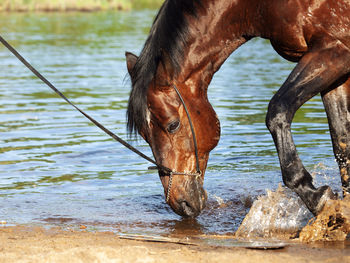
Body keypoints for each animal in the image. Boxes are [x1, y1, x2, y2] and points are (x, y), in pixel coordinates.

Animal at [126, 0, 350, 219]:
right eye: (145, 135)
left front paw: (316, 196)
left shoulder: (333, 50)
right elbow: (342, 142)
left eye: (173, 125)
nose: (180, 203)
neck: (254, 6)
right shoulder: (337, 69)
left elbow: (278, 109)